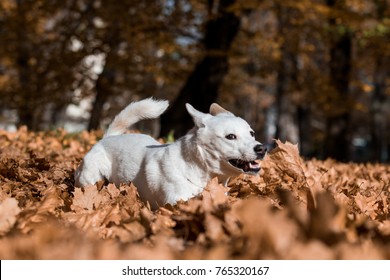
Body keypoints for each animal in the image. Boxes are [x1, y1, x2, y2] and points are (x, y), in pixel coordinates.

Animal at [74, 97, 266, 209]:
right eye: (230, 136)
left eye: (252, 133)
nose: (262, 148)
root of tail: (109, 137)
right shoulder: (177, 202)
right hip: (90, 178)